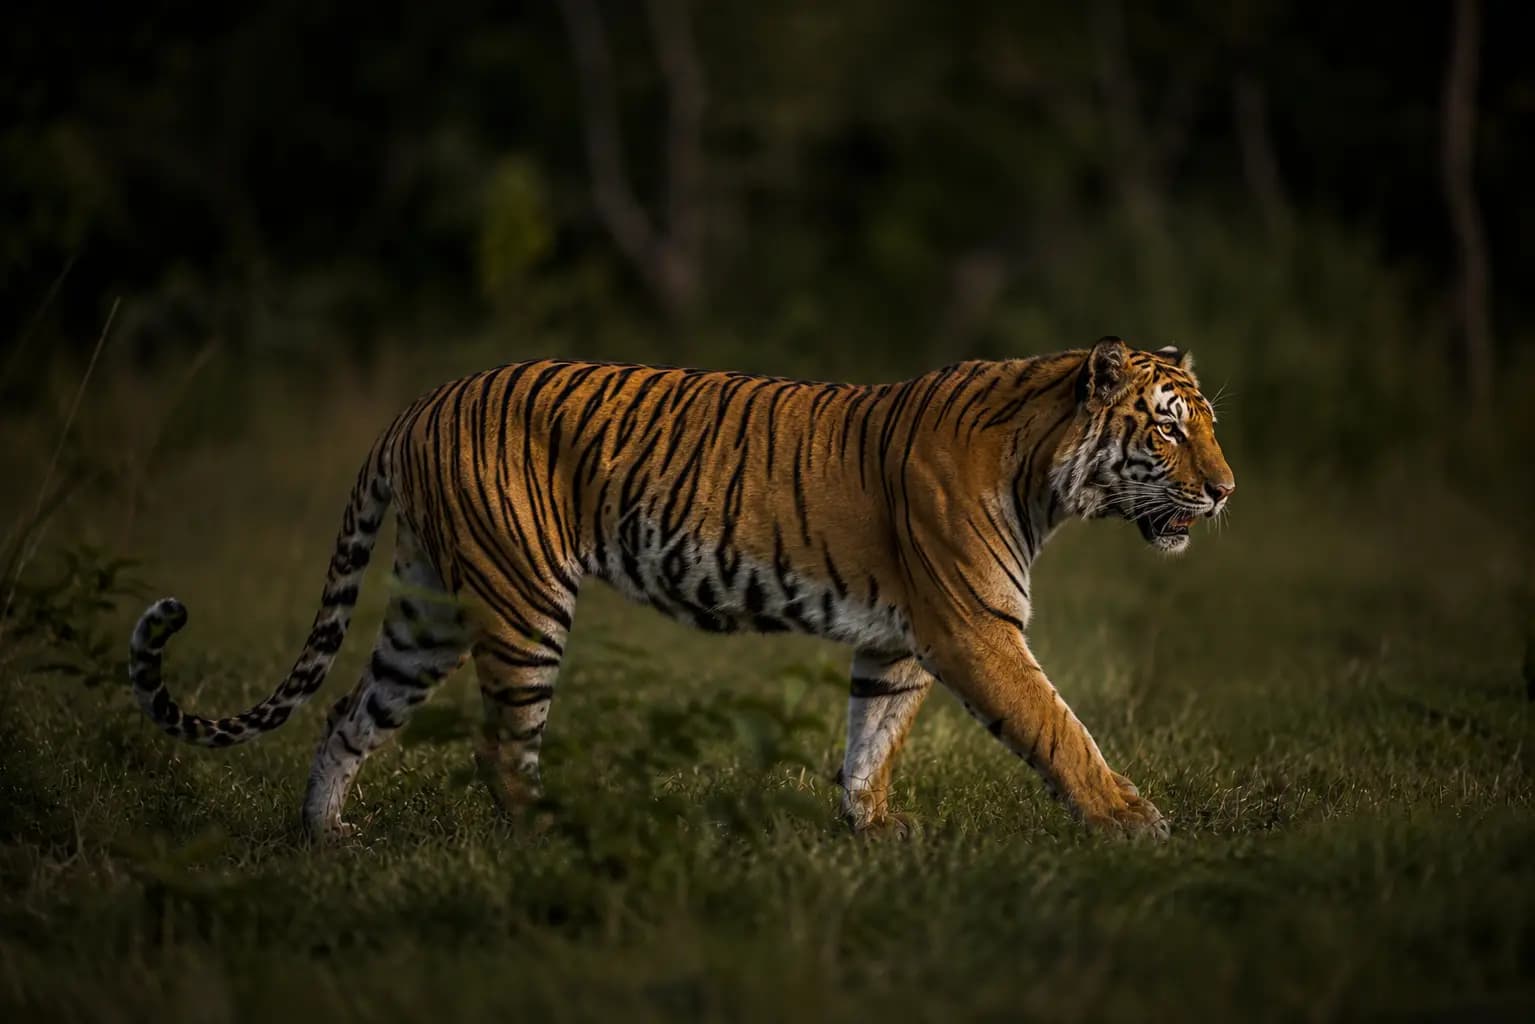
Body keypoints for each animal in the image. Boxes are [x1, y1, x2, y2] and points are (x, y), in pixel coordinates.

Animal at [127, 336, 1234, 842]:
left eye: (1207, 424)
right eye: (1168, 426)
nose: (1225, 491)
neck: (1049, 477)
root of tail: (419, 404)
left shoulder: (898, 641)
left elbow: (869, 739)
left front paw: (870, 830)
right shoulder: (973, 628)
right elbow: (1057, 728)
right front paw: (1132, 821)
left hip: (425, 611)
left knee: (348, 713)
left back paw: (329, 837)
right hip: (523, 604)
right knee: (498, 745)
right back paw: (546, 836)